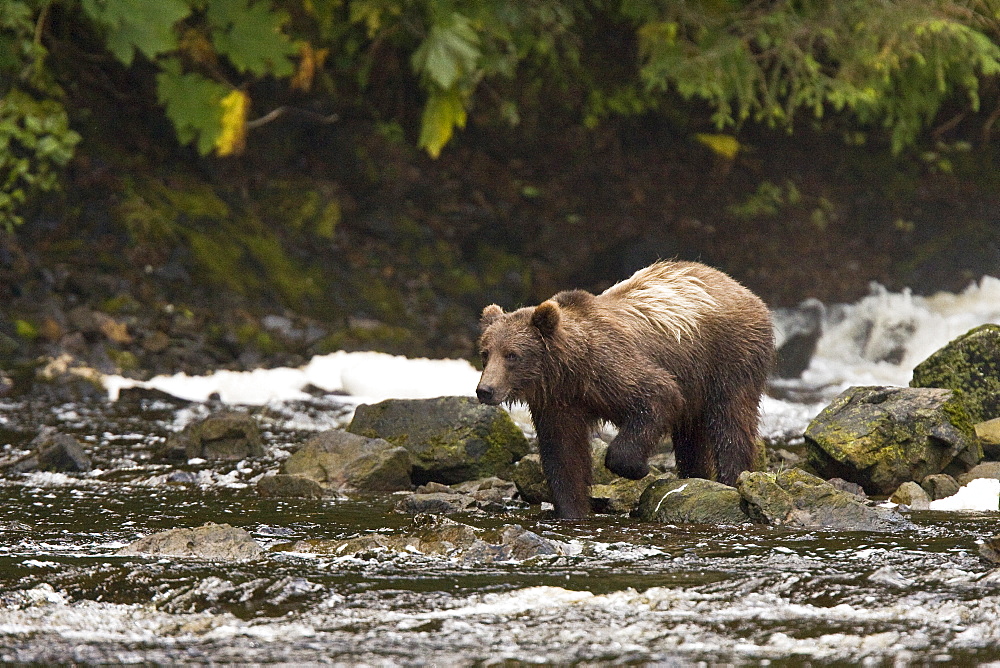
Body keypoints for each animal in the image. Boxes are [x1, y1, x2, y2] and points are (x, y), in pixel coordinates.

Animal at [476, 260, 772, 516]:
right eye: (485, 353)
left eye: (512, 355)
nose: (485, 390)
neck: (570, 371)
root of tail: (741, 288)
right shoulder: (559, 403)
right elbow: (563, 455)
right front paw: (572, 509)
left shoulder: (611, 369)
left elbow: (658, 396)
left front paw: (636, 469)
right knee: (692, 437)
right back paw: (695, 475)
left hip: (729, 359)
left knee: (731, 423)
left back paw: (731, 479)